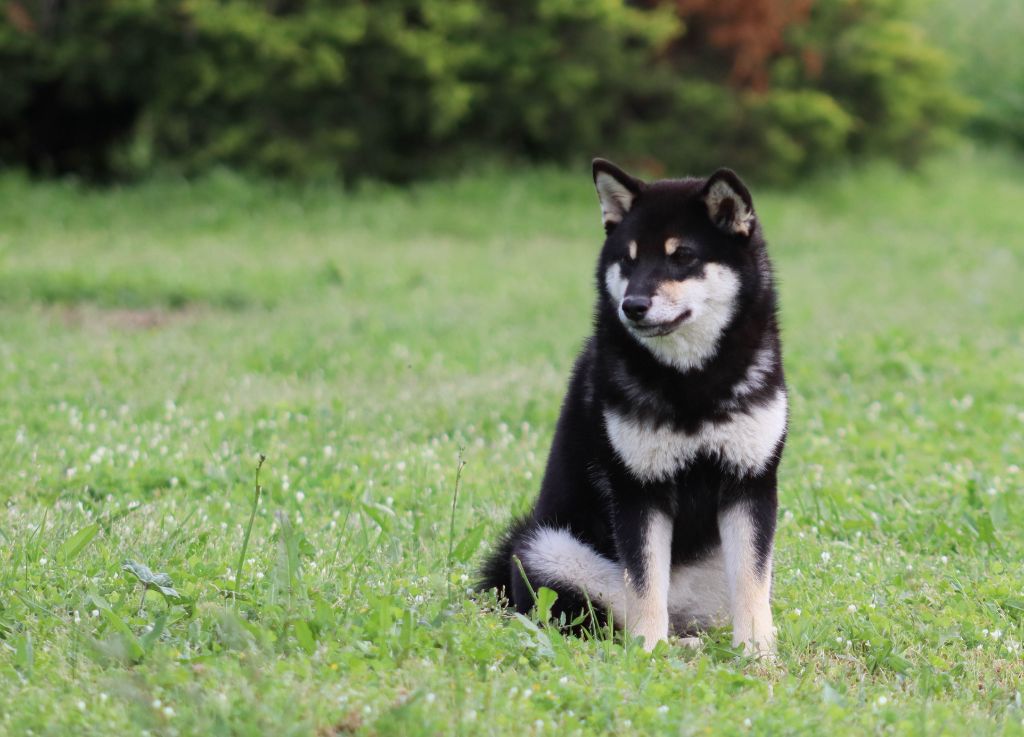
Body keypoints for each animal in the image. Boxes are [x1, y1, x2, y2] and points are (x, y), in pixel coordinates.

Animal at [477, 158, 782, 655]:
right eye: (629, 258)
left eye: (683, 256)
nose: (633, 304)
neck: (690, 381)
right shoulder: (638, 488)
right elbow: (644, 584)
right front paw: (648, 653)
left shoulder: (750, 483)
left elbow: (753, 584)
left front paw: (759, 653)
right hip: (549, 550)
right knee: (599, 618)